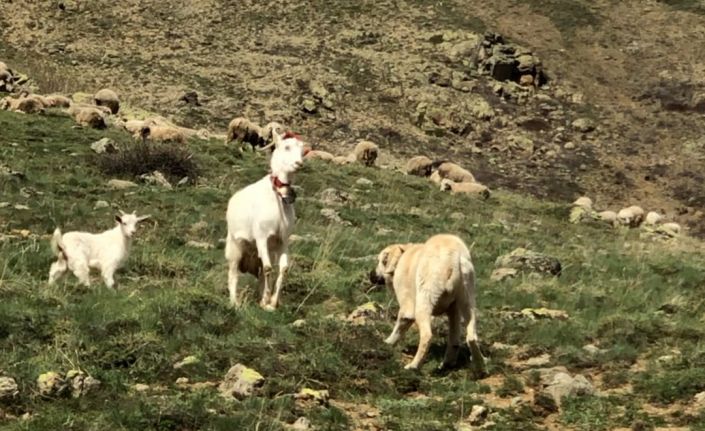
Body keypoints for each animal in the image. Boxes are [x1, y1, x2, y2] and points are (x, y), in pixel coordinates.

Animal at [224, 130, 304, 308]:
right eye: (287, 147)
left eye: (303, 149)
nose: (299, 163)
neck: (278, 197)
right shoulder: (261, 237)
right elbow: (268, 268)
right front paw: (266, 300)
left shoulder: (283, 241)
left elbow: (283, 269)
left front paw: (272, 303)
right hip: (235, 246)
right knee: (233, 274)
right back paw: (234, 303)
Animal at [368, 235, 484, 372]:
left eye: (381, 261)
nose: (371, 275)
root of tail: (453, 257)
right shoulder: (453, 309)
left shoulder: (406, 305)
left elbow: (400, 326)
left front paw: (387, 343)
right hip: (466, 300)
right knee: (468, 338)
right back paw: (475, 366)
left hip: (424, 300)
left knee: (427, 335)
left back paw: (414, 365)